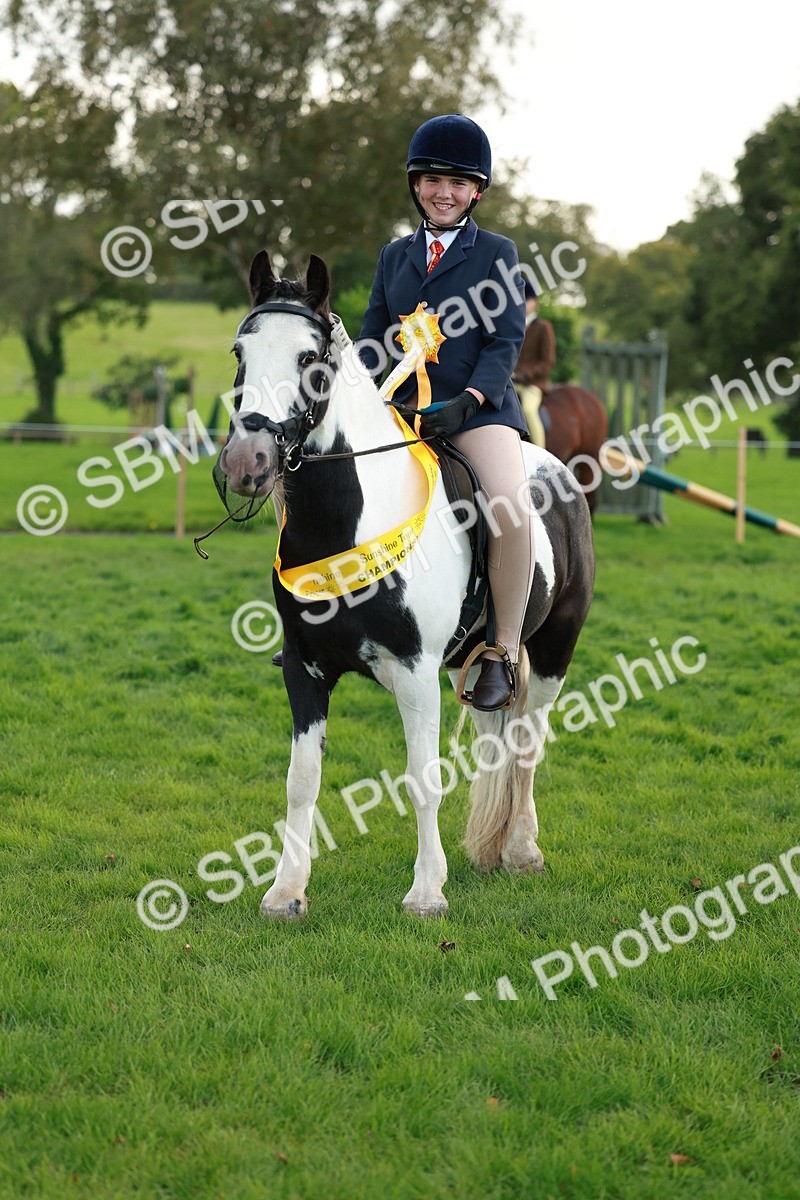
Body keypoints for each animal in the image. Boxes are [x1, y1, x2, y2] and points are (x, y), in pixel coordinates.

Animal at [213, 249, 595, 919]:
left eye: (310, 359)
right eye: (241, 350)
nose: (247, 463)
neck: (349, 522)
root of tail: (558, 470)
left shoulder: (416, 672)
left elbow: (422, 779)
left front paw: (426, 892)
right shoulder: (304, 671)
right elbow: (300, 782)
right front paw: (286, 891)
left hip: (553, 650)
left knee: (528, 744)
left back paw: (522, 851)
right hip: (476, 661)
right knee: (498, 737)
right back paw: (490, 851)